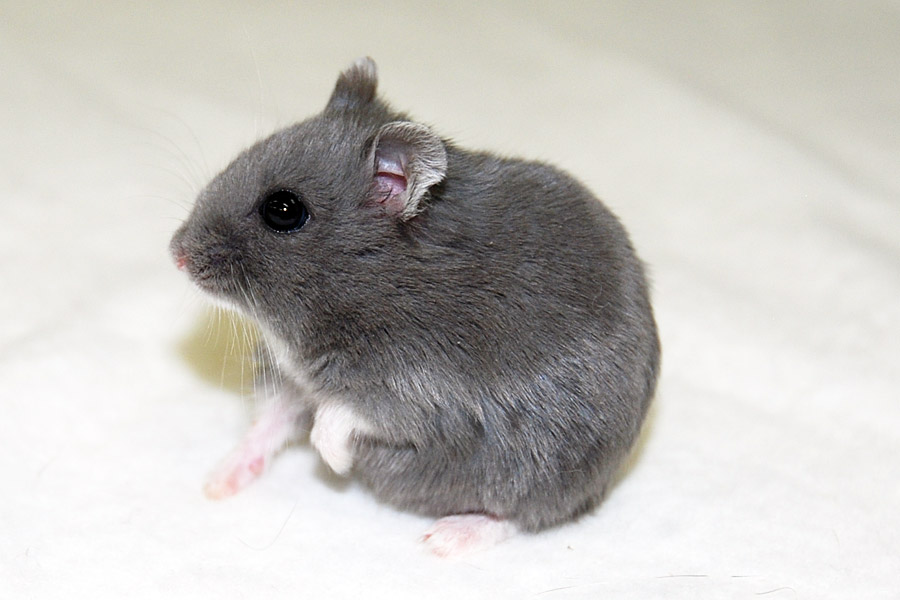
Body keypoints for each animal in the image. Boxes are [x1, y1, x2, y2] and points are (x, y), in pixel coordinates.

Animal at [170, 57, 660, 557]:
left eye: (283, 210)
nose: (176, 252)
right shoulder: (293, 378)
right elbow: (269, 422)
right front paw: (215, 484)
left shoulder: (414, 393)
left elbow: (337, 417)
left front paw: (336, 461)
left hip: (546, 471)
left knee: (522, 515)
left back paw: (444, 538)